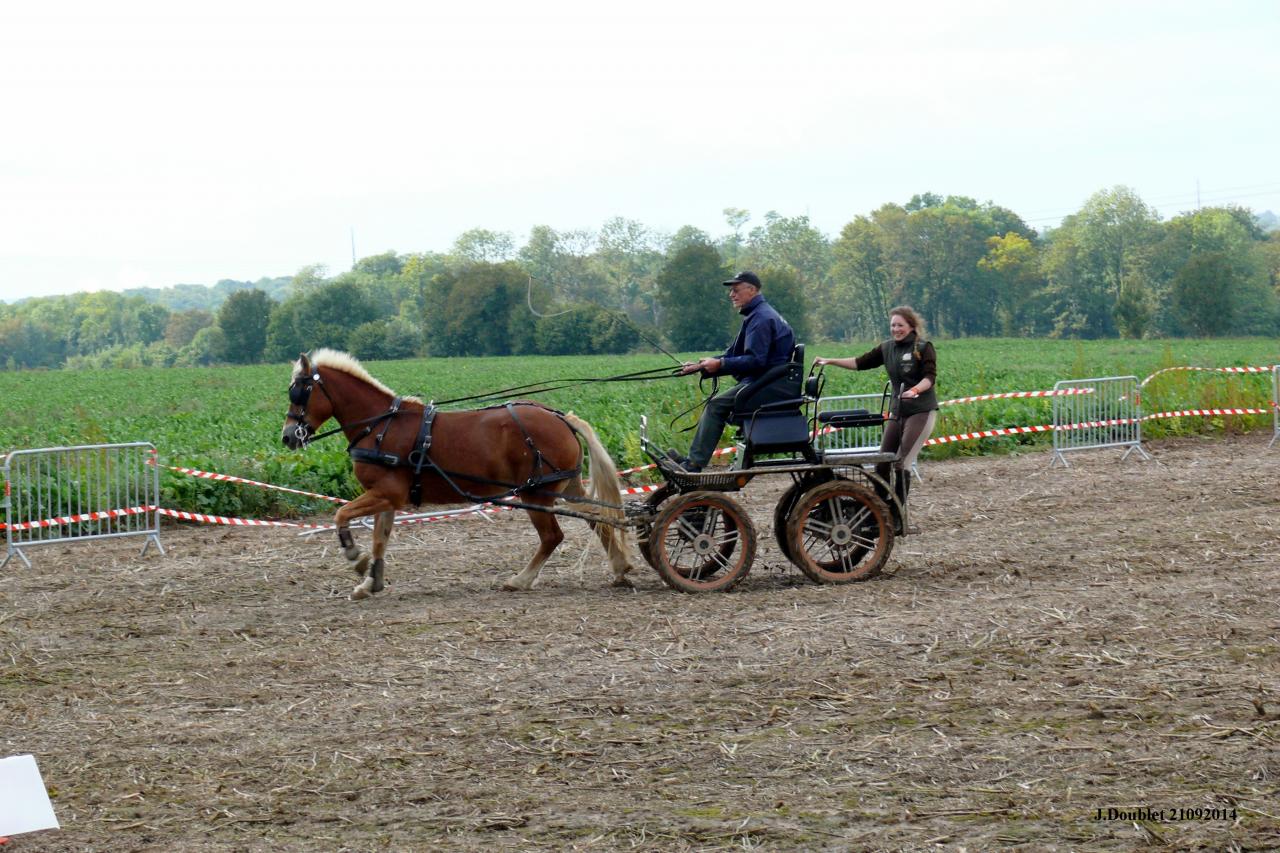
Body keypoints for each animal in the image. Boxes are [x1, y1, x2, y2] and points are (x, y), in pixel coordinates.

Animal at [280, 349, 634, 599]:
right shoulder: (387, 497)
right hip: (565, 485)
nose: (287, 437)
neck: (381, 426)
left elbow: (341, 515)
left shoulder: (385, 493)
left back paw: (521, 580)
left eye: (299, 391)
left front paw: (356, 557)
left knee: (552, 536)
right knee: (597, 519)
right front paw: (371, 581)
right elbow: (380, 537)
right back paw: (619, 568)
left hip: (535, 492)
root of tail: (561, 418)